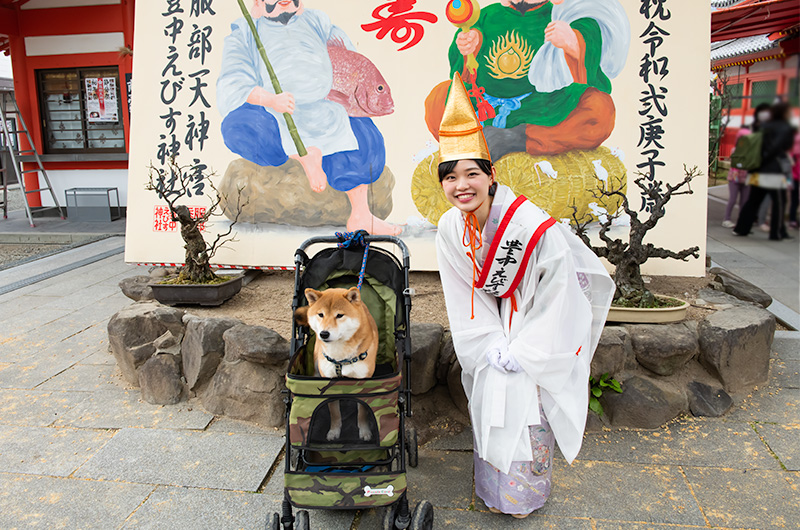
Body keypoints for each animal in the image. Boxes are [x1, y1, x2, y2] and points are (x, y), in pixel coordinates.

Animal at [296, 286, 380, 440]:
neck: (340, 357)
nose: (324, 334)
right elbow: (334, 412)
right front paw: (334, 431)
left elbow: (363, 411)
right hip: (316, 368)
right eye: (321, 314)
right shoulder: (329, 382)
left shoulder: (363, 382)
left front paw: (365, 431)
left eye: (339, 315)